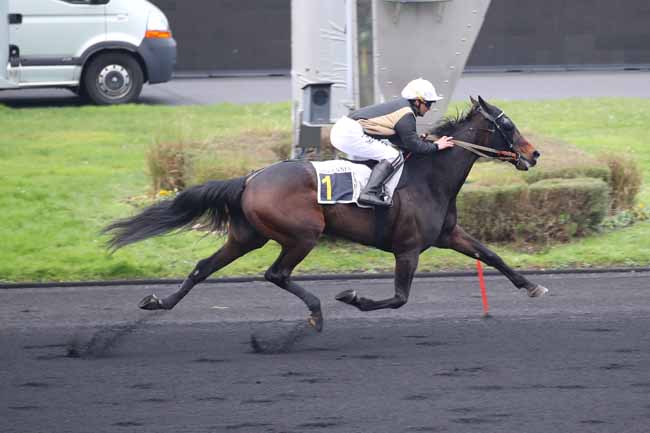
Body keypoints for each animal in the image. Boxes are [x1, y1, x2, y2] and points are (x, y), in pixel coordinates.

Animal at [104, 96, 544, 330]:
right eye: (507, 124)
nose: (534, 153)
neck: (428, 176)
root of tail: (250, 178)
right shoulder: (408, 248)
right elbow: (398, 298)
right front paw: (354, 297)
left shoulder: (448, 235)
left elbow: (491, 255)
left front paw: (532, 287)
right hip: (302, 234)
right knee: (276, 273)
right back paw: (316, 311)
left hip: (247, 236)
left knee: (202, 267)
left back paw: (159, 302)